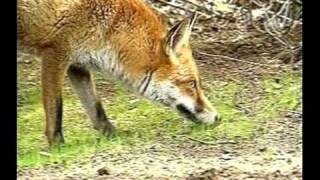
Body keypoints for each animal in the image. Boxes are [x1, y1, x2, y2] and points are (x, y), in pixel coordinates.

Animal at [18, 0, 220, 146]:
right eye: (192, 83)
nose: (219, 117)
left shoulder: (77, 65)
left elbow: (96, 110)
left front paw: (113, 135)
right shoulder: (55, 54)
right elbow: (56, 109)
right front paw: (57, 146)